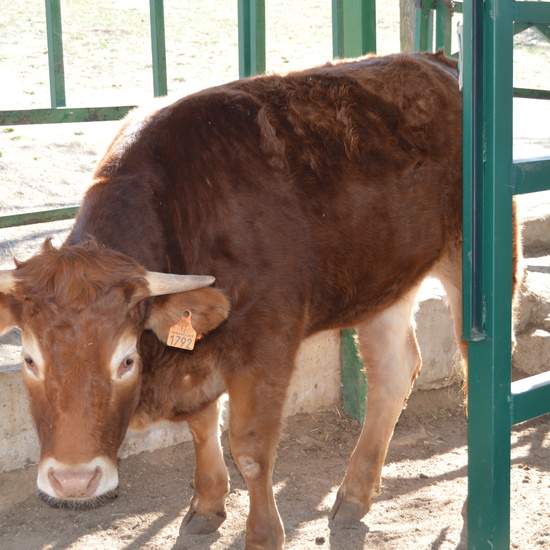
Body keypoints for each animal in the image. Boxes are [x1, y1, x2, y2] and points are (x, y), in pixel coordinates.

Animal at [0, 50, 474, 548]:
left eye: (126, 360)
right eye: (29, 360)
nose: (73, 480)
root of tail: (438, 61)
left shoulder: (268, 341)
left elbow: (249, 446)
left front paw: (263, 533)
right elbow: (202, 426)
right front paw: (207, 504)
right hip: (386, 278)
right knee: (392, 372)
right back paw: (353, 497)